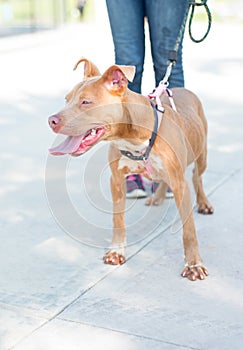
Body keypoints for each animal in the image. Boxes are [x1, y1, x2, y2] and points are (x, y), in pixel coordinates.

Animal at [48, 58, 214, 282]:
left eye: (86, 102)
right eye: (66, 100)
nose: (51, 120)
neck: (133, 136)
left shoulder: (180, 184)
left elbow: (188, 229)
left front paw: (194, 264)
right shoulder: (116, 180)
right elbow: (118, 219)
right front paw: (116, 251)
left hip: (201, 154)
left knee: (197, 177)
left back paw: (203, 202)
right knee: (163, 179)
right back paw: (157, 197)